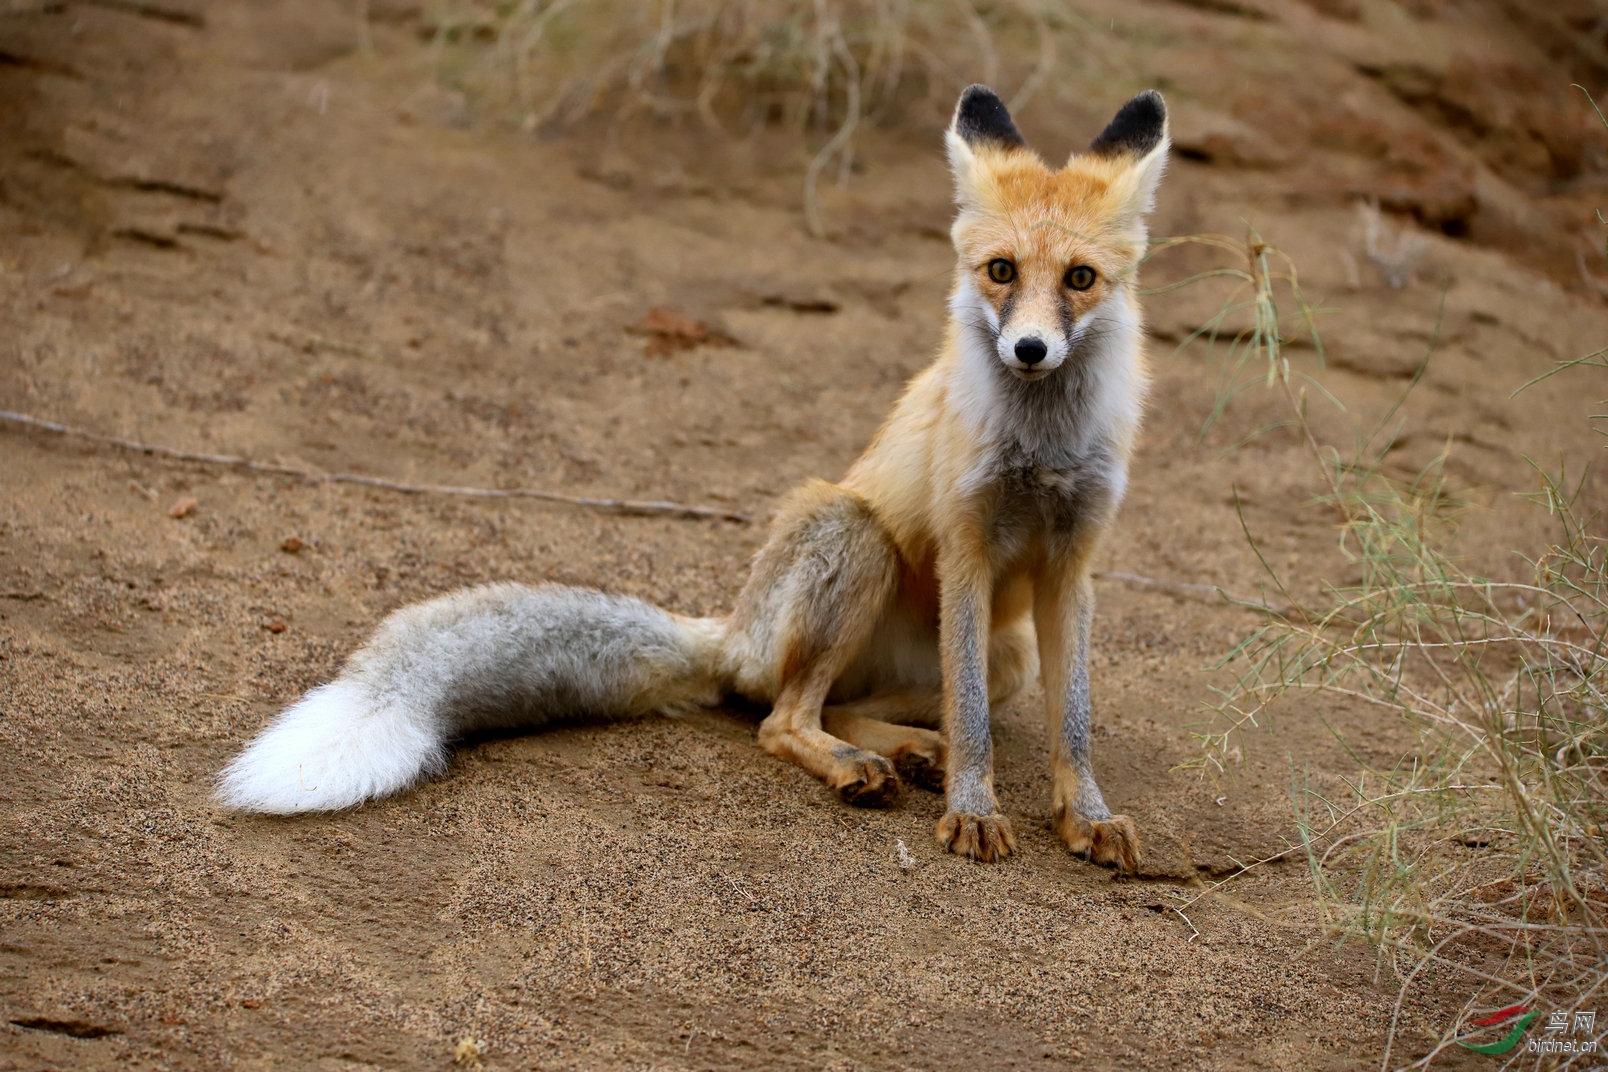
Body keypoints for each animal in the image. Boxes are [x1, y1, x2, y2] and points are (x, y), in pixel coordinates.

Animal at [217, 83, 1170, 874]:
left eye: (1080, 280)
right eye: (1001, 272)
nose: (1030, 350)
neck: (1041, 445)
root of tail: (735, 628)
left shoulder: (1072, 566)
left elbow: (1073, 724)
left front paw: (1087, 817)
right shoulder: (969, 548)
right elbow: (972, 724)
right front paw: (975, 809)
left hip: (1005, 651)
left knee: (841, 704)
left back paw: (900, 747)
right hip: (853, 536)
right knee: (783, 718)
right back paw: (861, 762)